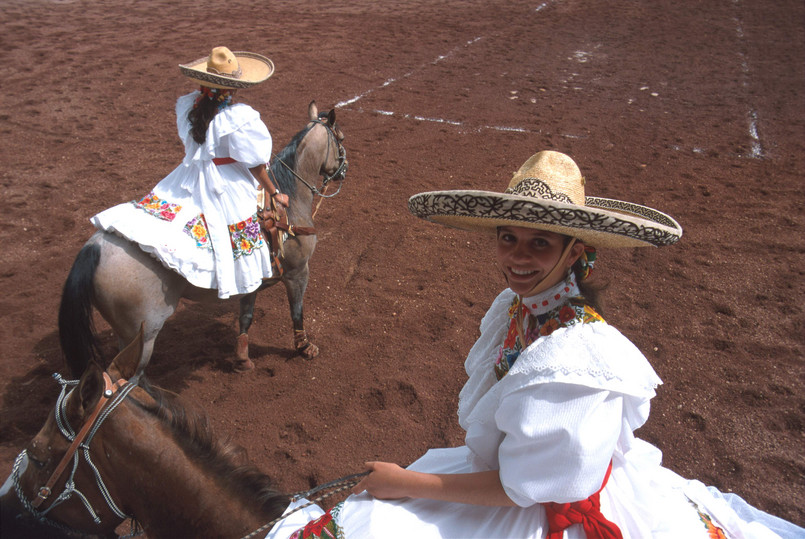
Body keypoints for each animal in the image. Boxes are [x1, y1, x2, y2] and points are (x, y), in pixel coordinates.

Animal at [56, 101, 346, 380]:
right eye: (341, 138)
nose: (344, 170)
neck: (290, 201)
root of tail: (95, 247)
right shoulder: (298, 273)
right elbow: (297, 311)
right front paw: (305, 347)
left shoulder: (251, 282)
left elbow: (246, 317)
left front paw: (242, 359)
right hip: (143, 335)